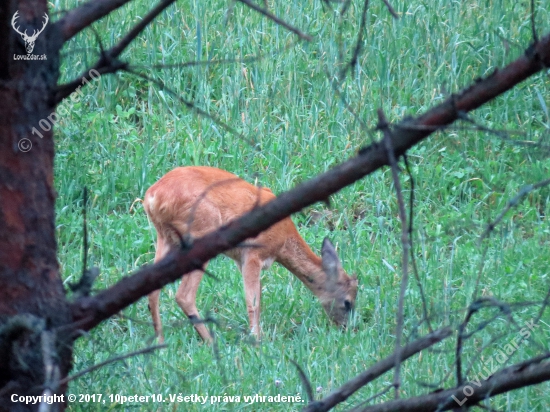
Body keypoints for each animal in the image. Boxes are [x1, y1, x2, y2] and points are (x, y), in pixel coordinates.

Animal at [143, 164, 358, 342]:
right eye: (348, 302)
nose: (346, 329)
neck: (284, 239)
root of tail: (153, 197)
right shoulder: (253, 254)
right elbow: (253, 302)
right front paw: (257, 340)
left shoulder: (240, 259)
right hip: (199, 236)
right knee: (184, 295)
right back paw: (211, 342)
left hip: (166, 238)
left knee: (153, 290)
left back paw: (160, 342)